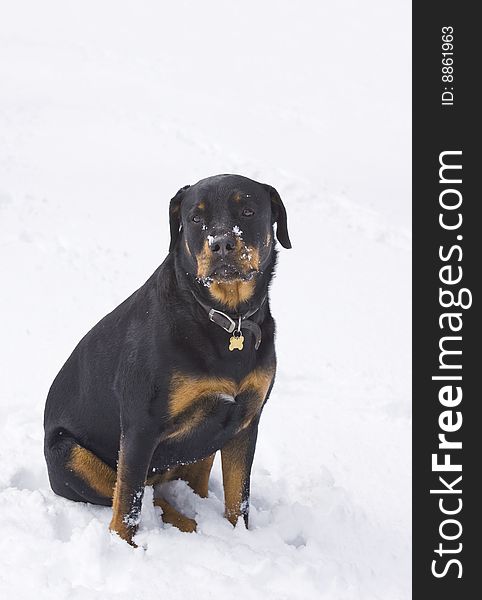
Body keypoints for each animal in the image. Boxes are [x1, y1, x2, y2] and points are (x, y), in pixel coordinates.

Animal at [44, 173, 290, 544]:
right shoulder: (141, 424)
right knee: (138, 492)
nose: (221, 244)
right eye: (196, 218)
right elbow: (128, 502)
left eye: (248, 210)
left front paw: (240, 539)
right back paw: (187, 524)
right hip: (67, 453)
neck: (224, 319)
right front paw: (125, 547)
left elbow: (239, 498)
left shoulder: (246, 420)